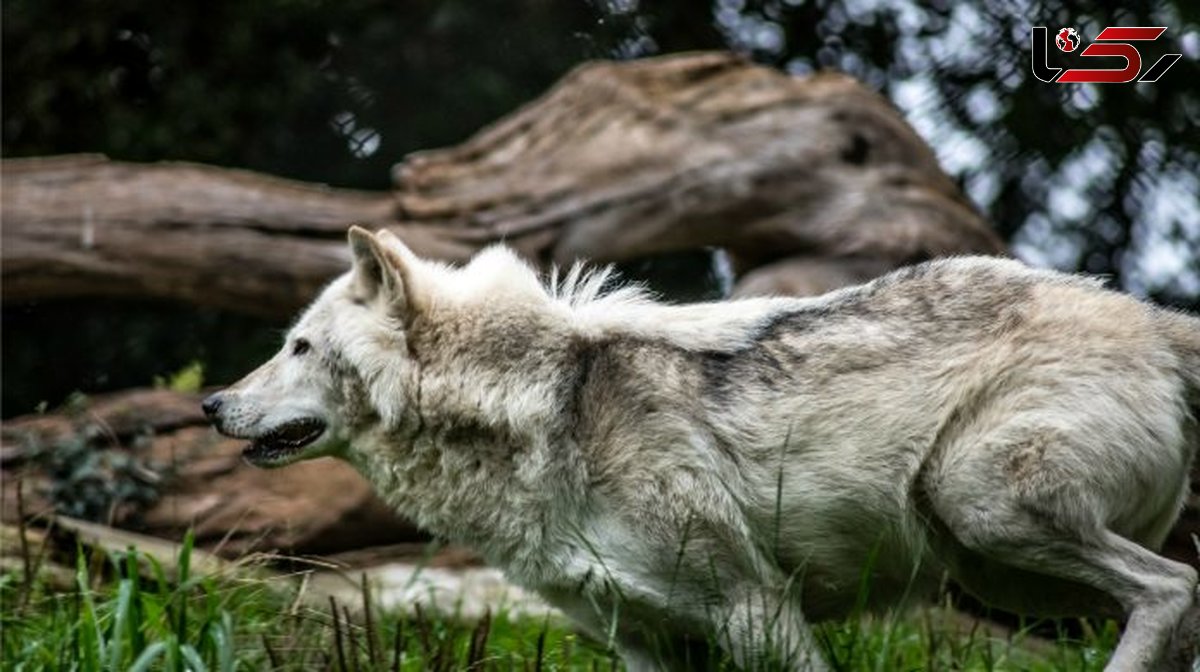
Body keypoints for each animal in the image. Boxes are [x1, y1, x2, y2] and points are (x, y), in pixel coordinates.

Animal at [206, 226, 1200, 672]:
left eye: (298, 346)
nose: (213, 403)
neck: (534, 406)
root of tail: (1153, 317)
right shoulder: (643, 643)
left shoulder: (758, 610)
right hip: (1002, 572)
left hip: (983, 514)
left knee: (1171, 586)